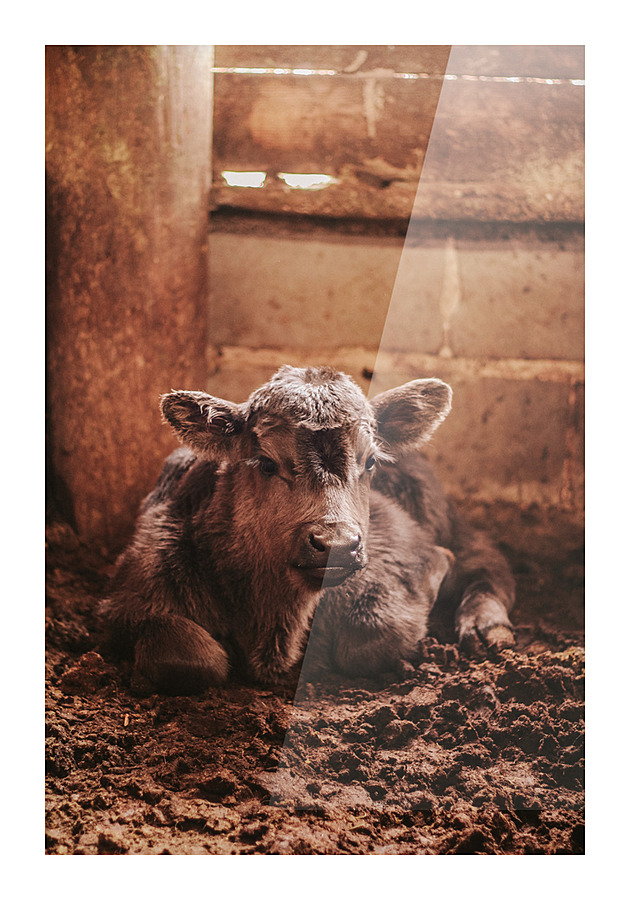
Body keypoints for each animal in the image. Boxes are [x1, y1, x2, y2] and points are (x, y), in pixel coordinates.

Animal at [101, 365, 515, 694]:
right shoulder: (129, 594)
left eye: (371, 462)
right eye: (266, 463)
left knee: (487, 561)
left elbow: (368, 635)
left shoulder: (403, 548)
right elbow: (192, 653)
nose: (338, 544)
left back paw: (487, 626)